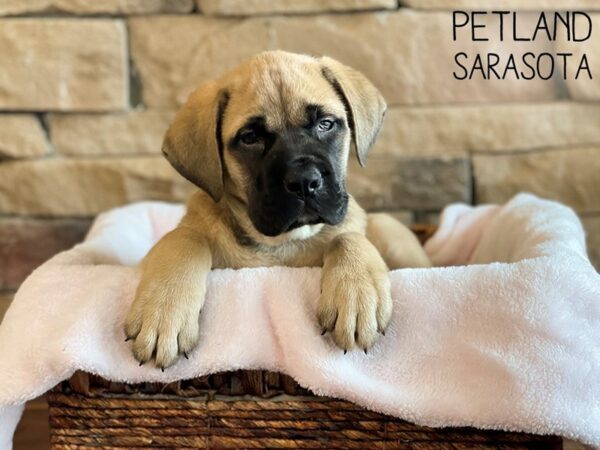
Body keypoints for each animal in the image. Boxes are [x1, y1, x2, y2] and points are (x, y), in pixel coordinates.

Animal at [125, 51, 431, 369]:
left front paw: (356, 295)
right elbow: (185, 238)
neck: (283, 242)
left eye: (325, 124)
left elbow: (347, 238)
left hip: (387, 227)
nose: (305, 181)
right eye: (250, 137)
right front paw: (163, 311)